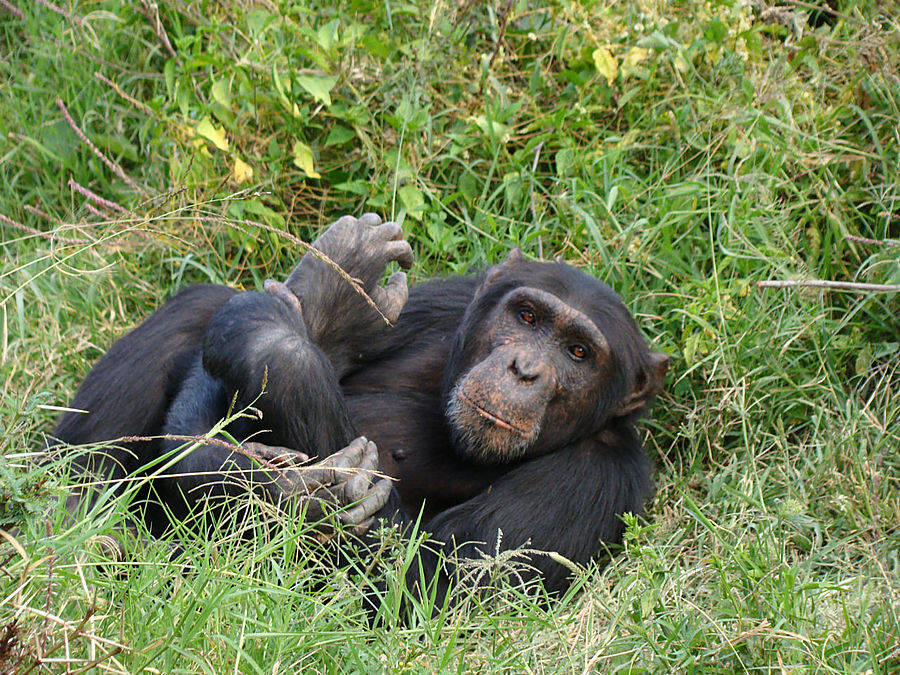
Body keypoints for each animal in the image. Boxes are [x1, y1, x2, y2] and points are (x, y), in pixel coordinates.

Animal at [51, 214, 668, 600]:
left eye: (579, 352)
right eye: (528, 317)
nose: (525, 368)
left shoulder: (593, 480)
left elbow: (416, 586)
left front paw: (297, 499)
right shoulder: (445, 302)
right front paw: (334, 300)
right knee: (198, 305)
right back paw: (66, 514)